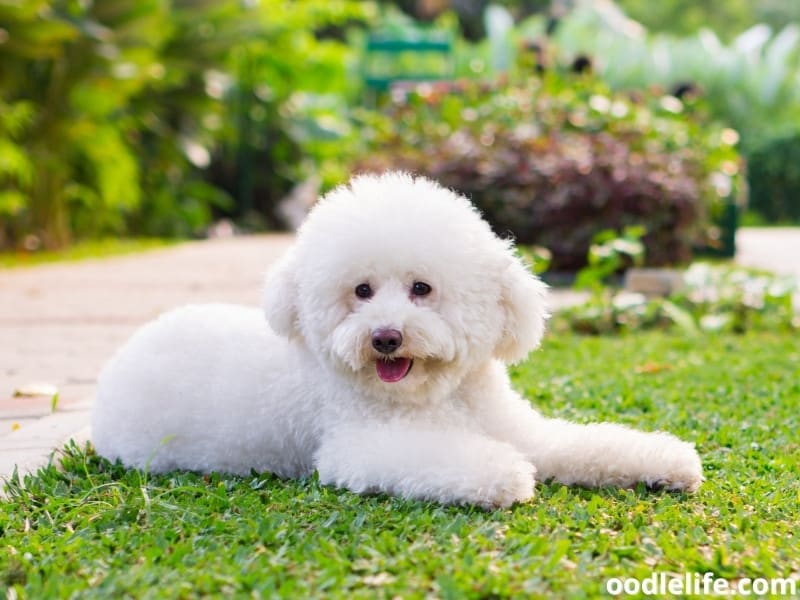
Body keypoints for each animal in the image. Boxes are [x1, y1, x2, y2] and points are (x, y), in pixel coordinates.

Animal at [92, 172, 700, 506]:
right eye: (361, 291)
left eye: (421, 288)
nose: (385, 337)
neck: (441, 397)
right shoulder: (359, 447)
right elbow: (446, 459)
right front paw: (502, 474)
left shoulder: (521, 430)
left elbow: (583, 444)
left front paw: (667, 461)